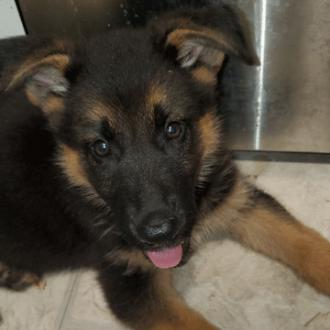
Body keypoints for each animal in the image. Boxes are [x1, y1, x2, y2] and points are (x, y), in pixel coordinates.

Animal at [0, 2, 330, 330]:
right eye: (101, 148)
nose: (158, 233)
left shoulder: (236, 198)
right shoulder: (129, 281)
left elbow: (306, 242)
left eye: (173, 129)